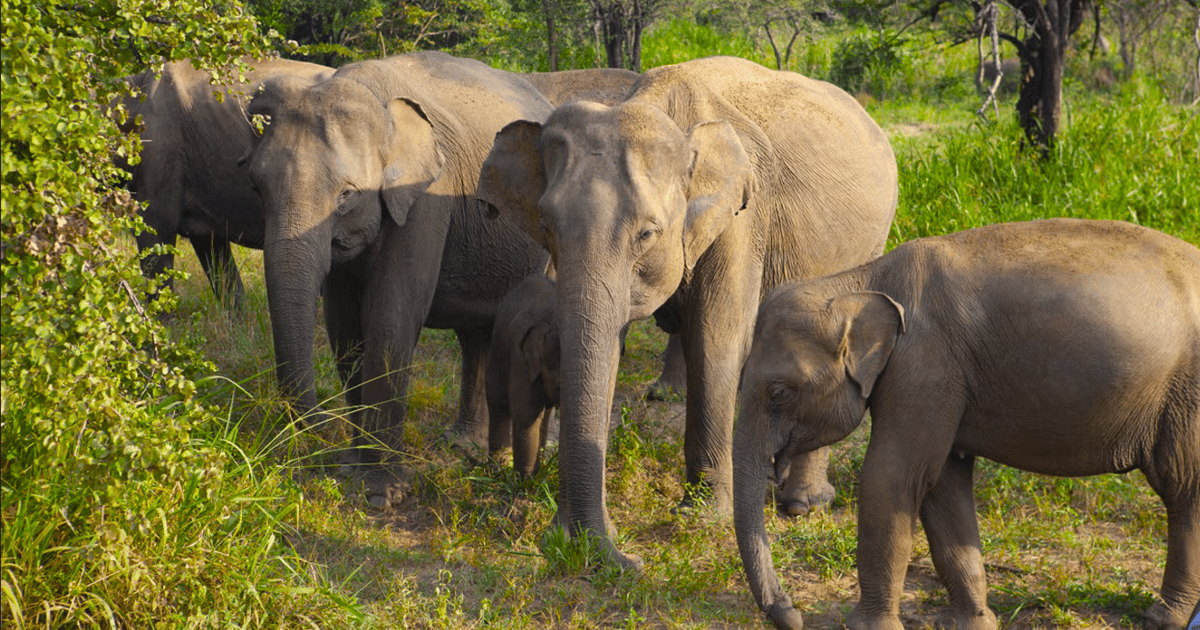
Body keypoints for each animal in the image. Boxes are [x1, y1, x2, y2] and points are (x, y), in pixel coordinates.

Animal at [484, 272, 559, 475]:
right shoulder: (520, 358)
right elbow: (526, 414)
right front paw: (524, 480)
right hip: (497, 349)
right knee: (498, 402)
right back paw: (497, 467)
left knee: (545, 417)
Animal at [729, 217, 1200, 628]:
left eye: (778, 392)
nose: (792, 614)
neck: (861, 280)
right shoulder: (940, 380)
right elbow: (942, 483)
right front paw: (972, 622)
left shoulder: (925, 364)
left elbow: (893, 477)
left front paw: (869, 626)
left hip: (1187, 398)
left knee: (1183, 487)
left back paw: (1163, 618)